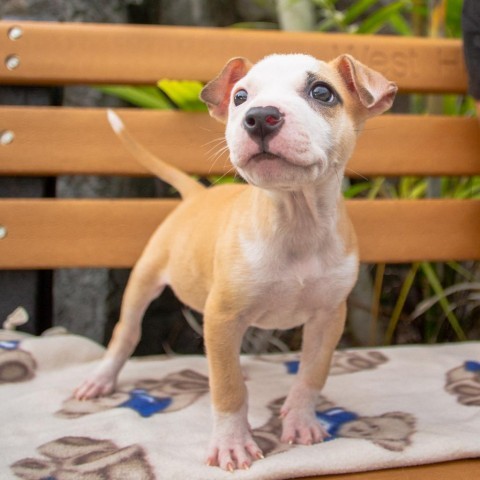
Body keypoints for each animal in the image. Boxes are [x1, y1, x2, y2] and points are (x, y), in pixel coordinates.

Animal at [75, 51, 398, 468]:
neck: (295, 220)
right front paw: (232, 443)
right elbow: (228, 389)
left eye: (322, 92)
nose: (260, 117)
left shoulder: (328, 318)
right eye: (240, 97)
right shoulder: (221, 318)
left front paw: (301, 422)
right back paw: (101, 379)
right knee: (126, 332)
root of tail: (196, 194)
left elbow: (312, 375)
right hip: (144, 279)